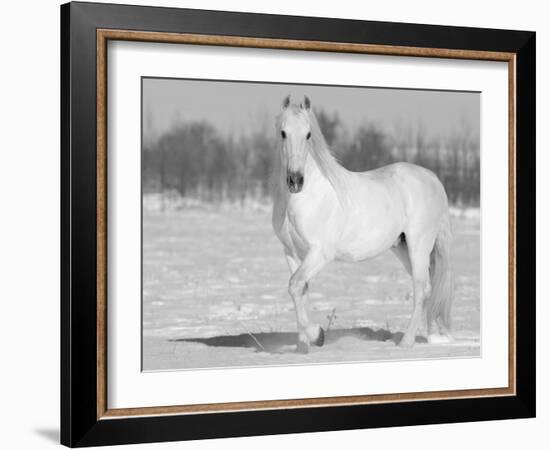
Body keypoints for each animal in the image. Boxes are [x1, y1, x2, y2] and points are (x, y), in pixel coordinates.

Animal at [274, 96, 454, 356]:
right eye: (283, 132)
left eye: (308, 134)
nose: (295, 180)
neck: (307, 198)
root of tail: (432, 178)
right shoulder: (291, 253)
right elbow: (300, 292)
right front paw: (302, 348)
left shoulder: (320, 253)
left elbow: (296, 285)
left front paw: (318, 336)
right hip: (402, 248)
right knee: (427, 286)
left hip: (419, 246)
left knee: (421, 289)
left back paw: (406, 342)